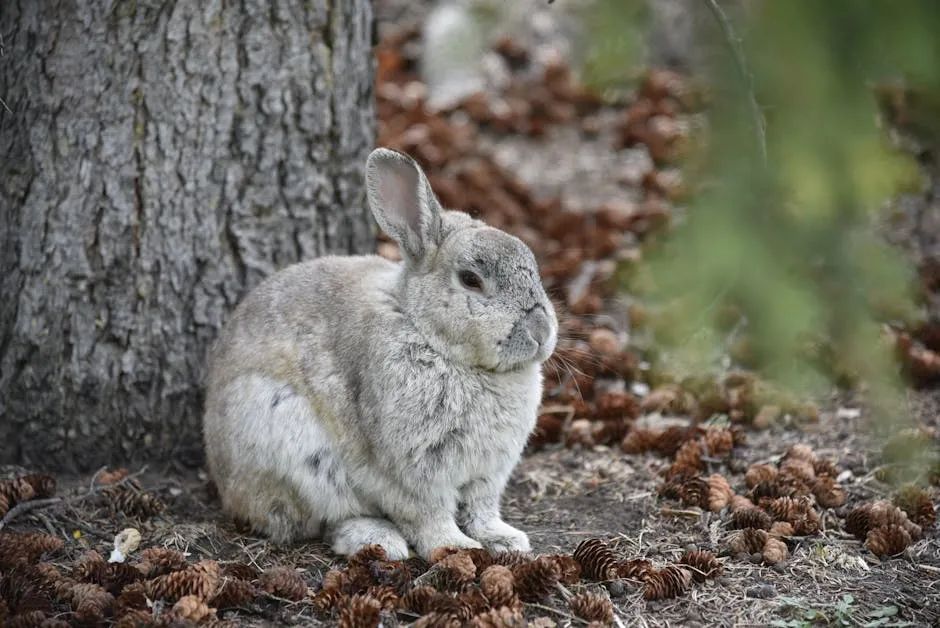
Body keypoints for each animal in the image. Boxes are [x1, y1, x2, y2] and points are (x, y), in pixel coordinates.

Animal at [204, 148, 560, 560]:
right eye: (471, 280)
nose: (541, 332)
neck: (429, 334)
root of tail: (227, 487)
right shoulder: (413, 471)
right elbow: (429, 513)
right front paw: (455, 548)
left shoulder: (487, 474)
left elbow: (481, 509)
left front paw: (506, 540)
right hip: (293, 448)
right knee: (326, 519)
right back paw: (380, 540)